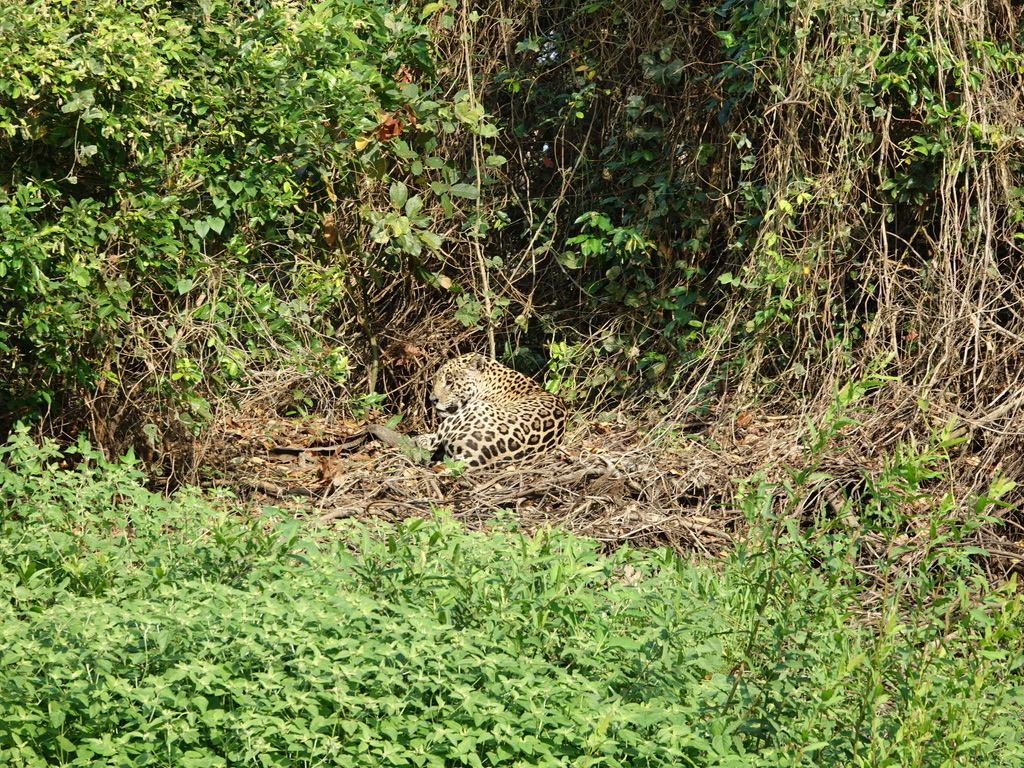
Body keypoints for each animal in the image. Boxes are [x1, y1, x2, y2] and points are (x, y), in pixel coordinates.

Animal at [413, 353, 568, 469]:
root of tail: (477, 457)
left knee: (430, 444)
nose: (432, 400)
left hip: (473, 408)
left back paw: (419, 438)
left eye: (450, 382)